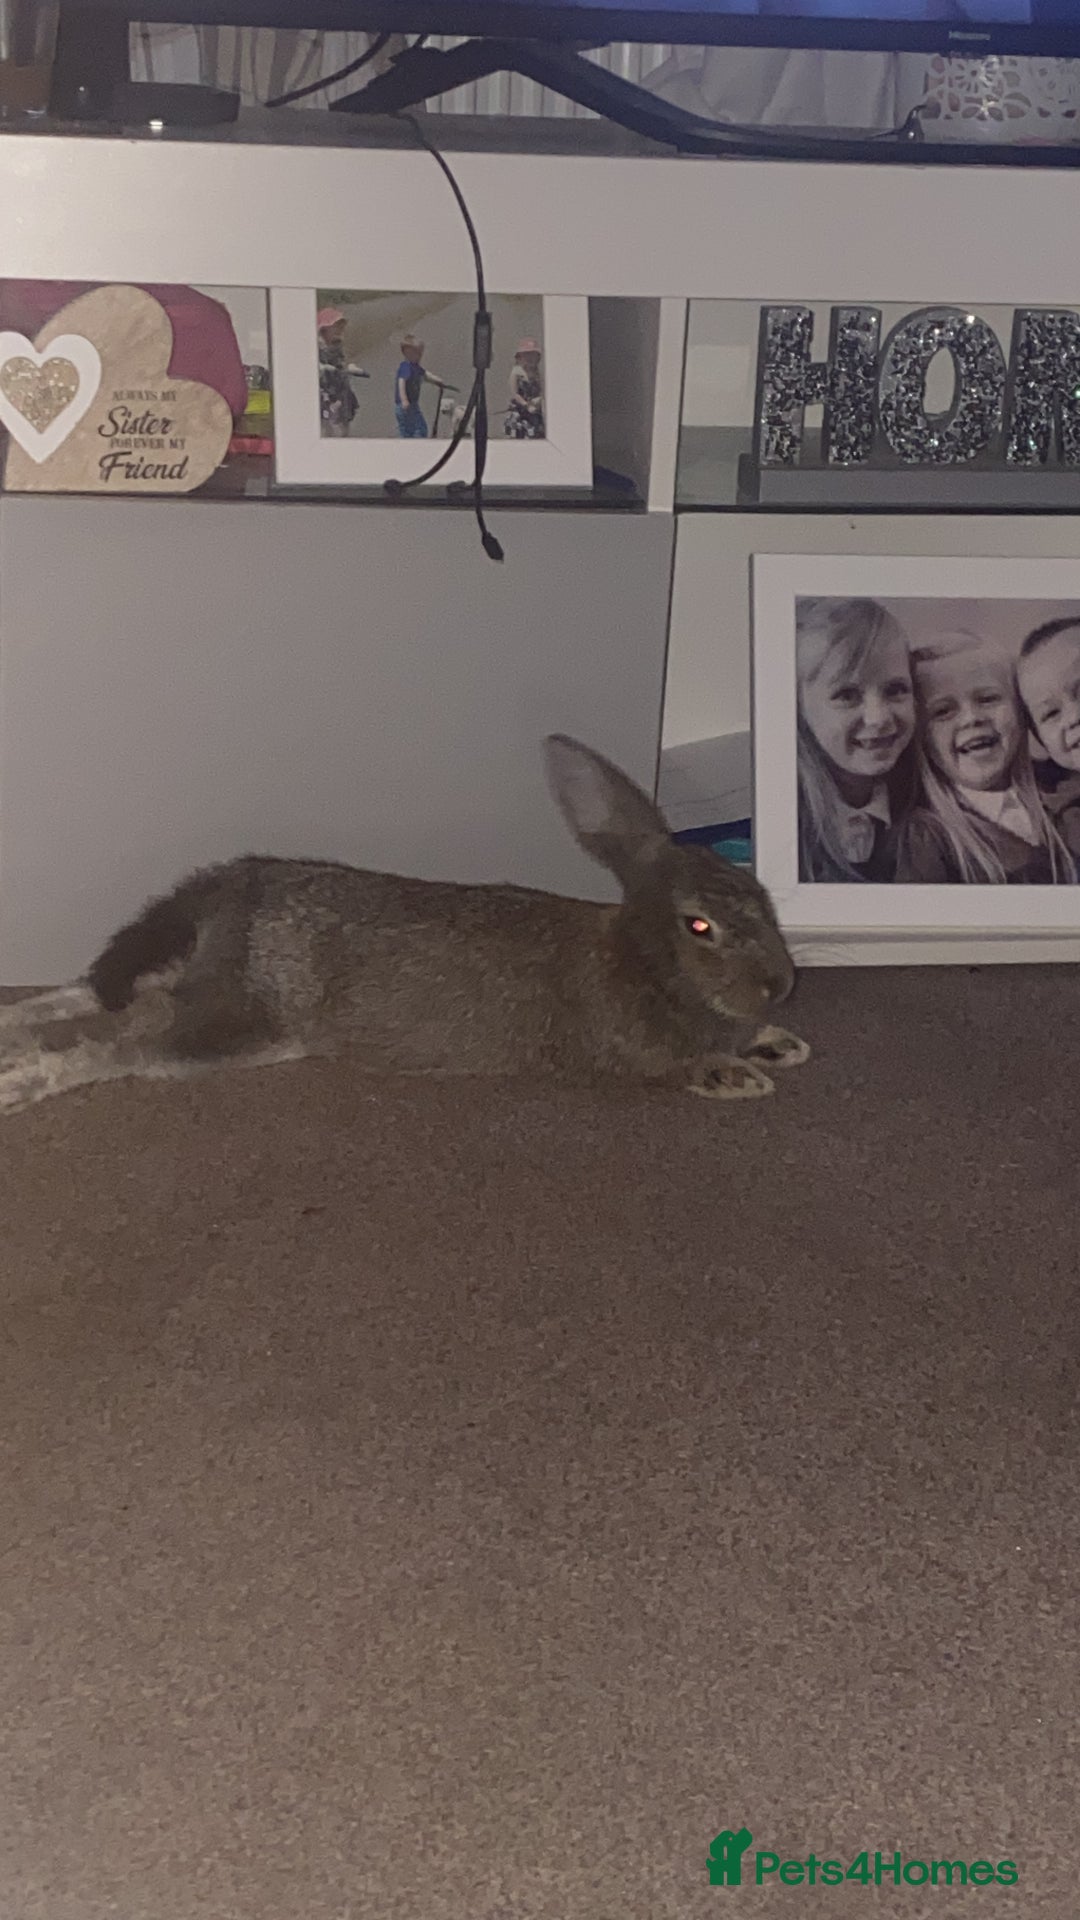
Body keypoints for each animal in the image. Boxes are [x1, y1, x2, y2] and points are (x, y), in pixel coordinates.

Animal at [0, 734, 808, 1115]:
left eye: (761, 897)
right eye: (699, 927)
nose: (782, 983)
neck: (648, 963)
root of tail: (233, 890)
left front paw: (782, 1044)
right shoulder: (628, 1049)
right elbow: (674, 1066)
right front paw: (736, 1076)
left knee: (95, 995)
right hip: (238, 1020)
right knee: (123, 1039)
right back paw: (25, 1080)